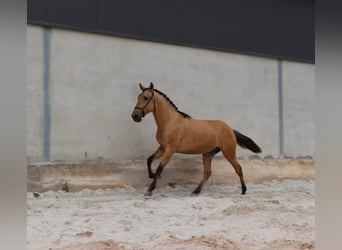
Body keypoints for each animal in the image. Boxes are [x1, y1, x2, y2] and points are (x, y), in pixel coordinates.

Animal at [131, 82, 262, 195]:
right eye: (139, 97)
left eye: (146, 98)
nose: (135, 116)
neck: (170, 122)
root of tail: (230, 129)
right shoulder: (162, 148)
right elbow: (149, 160)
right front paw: (152, 175)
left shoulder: (170, 150)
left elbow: (160, 168)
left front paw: (150, 189)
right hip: (208, 154)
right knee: (207, 173)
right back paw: (196, 191)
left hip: (228, 152)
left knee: (238, 168)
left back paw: (244, 190)